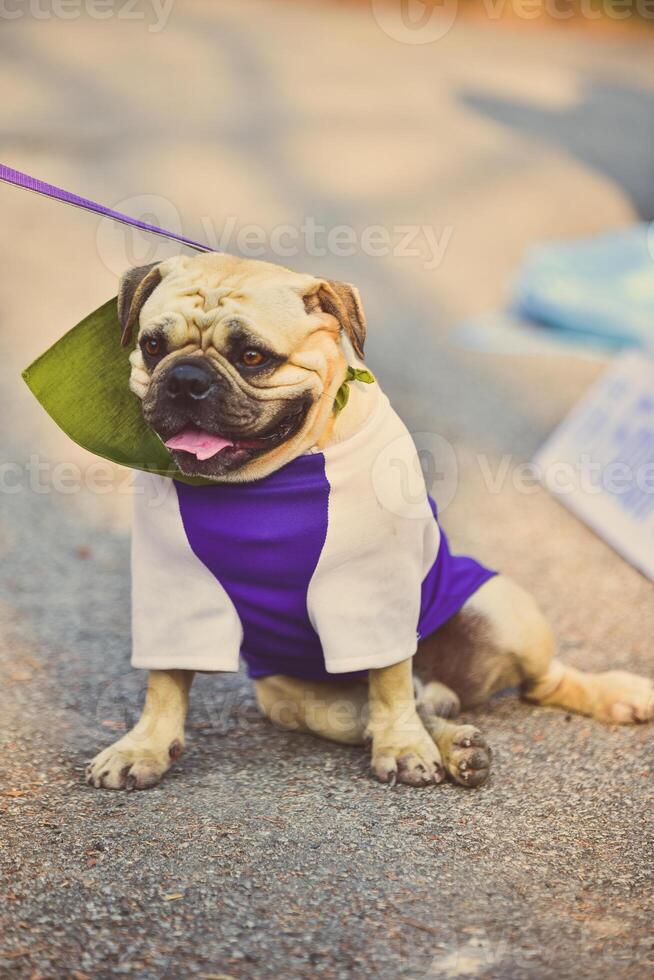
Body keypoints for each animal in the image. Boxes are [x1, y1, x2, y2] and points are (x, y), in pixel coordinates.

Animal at [88, 251, 654, 788]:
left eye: (252, 357)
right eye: (153, 346)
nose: (186, 379)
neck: (264, 482)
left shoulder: (371, 592)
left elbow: (388, 677)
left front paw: (401, 748)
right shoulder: (173, 587)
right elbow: (165, 680)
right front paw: (143, 747)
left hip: (506, 612)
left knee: (536, 683)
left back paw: (614, 694)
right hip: (299, 697)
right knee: (397, 711)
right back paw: (456, 747)